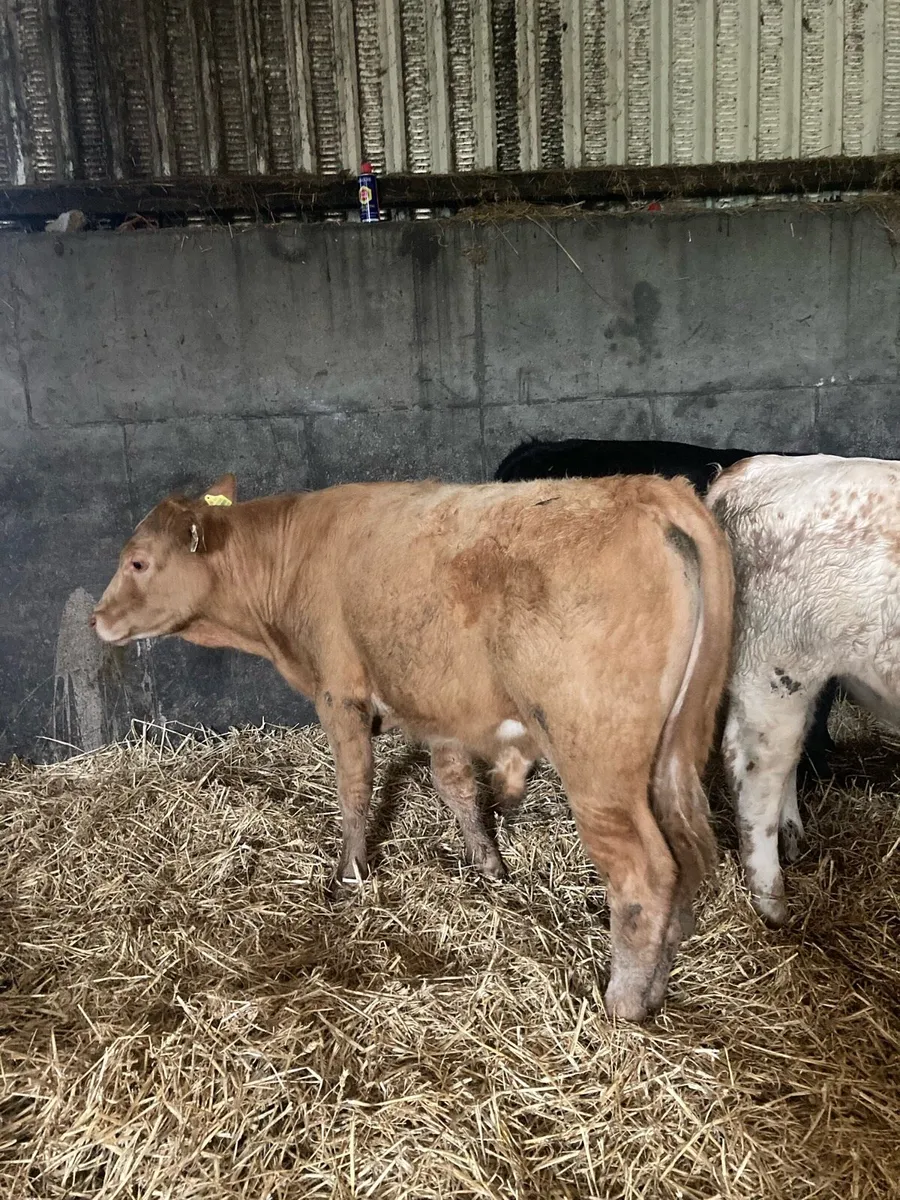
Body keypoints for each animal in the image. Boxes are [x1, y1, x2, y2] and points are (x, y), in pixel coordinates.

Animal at [93, 472, 734, 1022]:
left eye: (138, 561)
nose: (98, 618)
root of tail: (645, 490)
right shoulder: (439, 707)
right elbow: (455, 786)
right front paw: (489, 867)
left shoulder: (340, 693)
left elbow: (355, 788)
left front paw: (348, 877)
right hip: (670, 756)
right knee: (683, 852)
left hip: (597, 760)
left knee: (643, 874)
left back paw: (623, 1002)